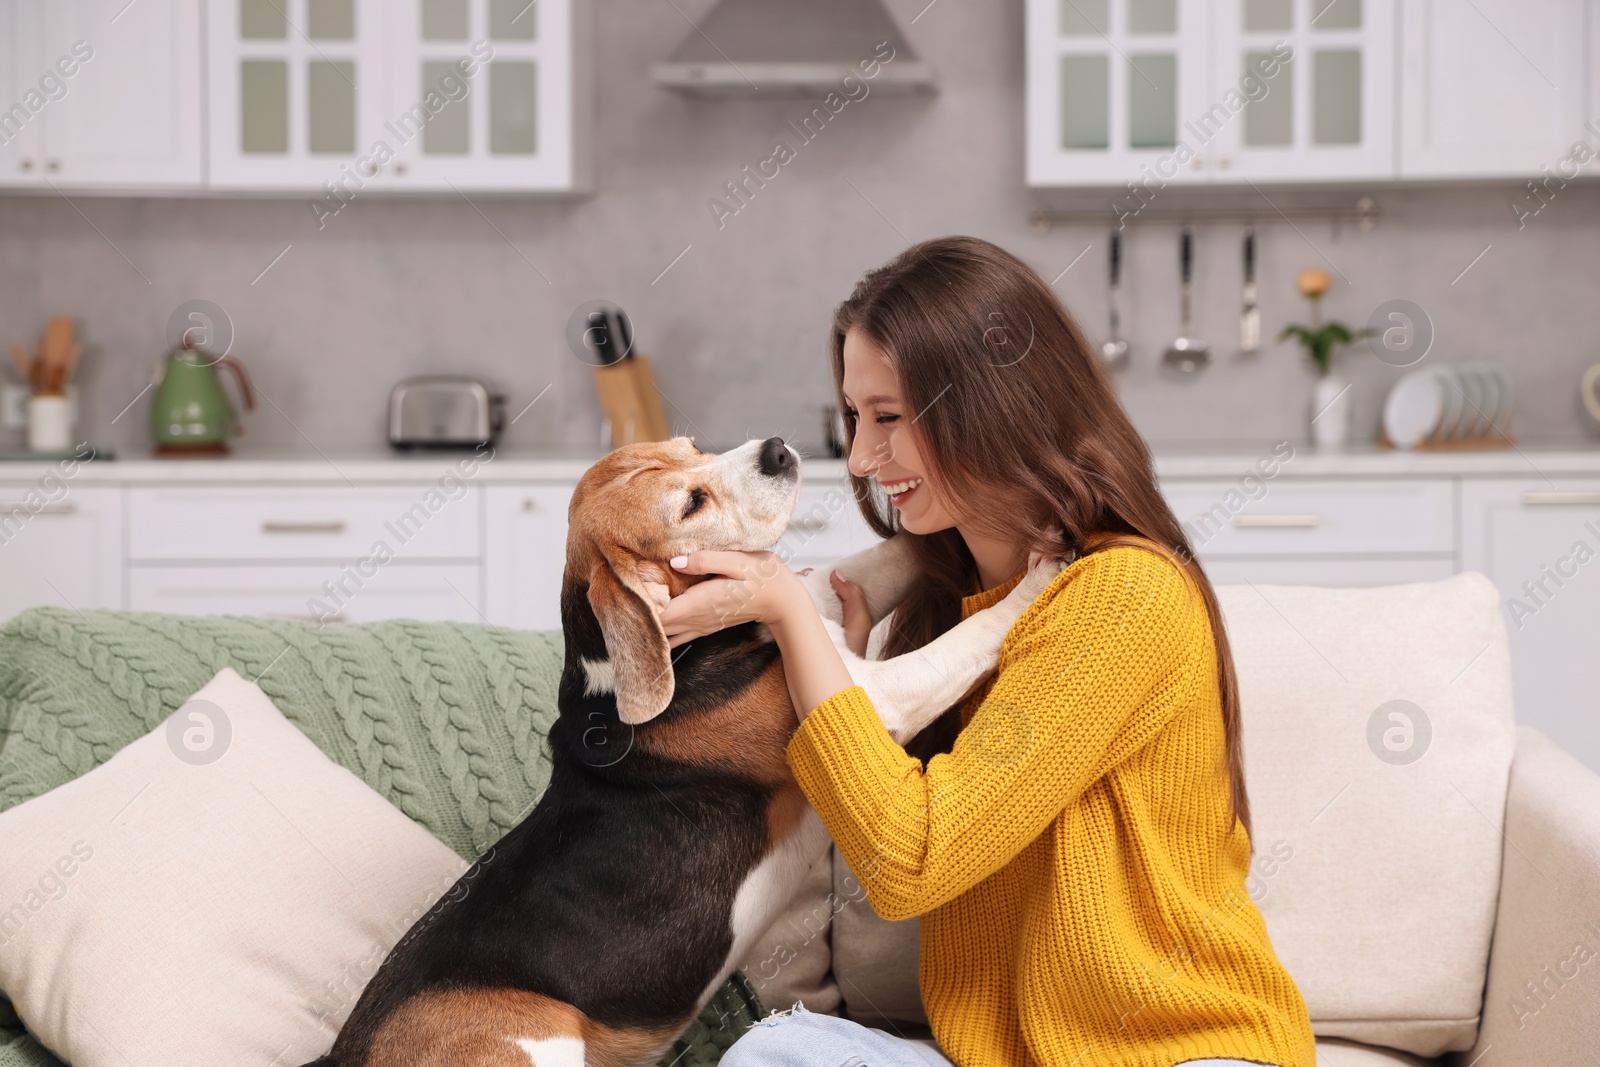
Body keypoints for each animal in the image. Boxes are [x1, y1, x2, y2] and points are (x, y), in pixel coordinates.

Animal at [305, 435, 1062, 1067]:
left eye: (693, 446)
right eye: (691, 503)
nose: (778, 448)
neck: (691, 649)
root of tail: (341, 1055)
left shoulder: (805, 599)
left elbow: (875, 560)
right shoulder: (869, 698)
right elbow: (969, 638)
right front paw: (1042, 575)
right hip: (537, 1038)